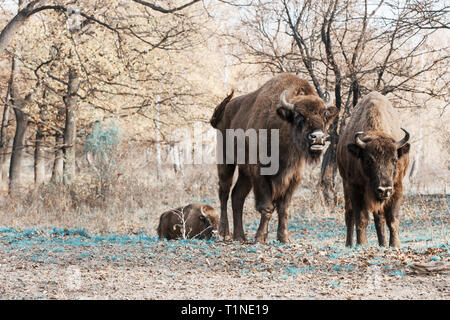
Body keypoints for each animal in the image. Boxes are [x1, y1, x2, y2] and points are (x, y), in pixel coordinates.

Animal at [209, 72, 336, 242]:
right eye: (299, 115)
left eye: (324, 114)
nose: (318, 138)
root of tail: (223, 112)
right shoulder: (260, 174)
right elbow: (267, 206)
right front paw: (260, 238)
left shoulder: (293, 177)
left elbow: (284, 208)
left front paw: (284, 238)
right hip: (226, 162)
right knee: (224, 192)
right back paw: (224, 233)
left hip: (245, 173)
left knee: (237, 196)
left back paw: (240, 236)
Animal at [336, 90, 410, 248]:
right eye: (369, 160)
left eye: (395, 160)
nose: (384, 189)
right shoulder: (355, 187)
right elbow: (361, 218)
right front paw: (362, 243)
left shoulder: (397, 187)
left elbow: (392, 218)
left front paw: (394, 244)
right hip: (345, 184)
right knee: (349, 215)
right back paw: (349, 244)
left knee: (379, 218)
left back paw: (382, 244)